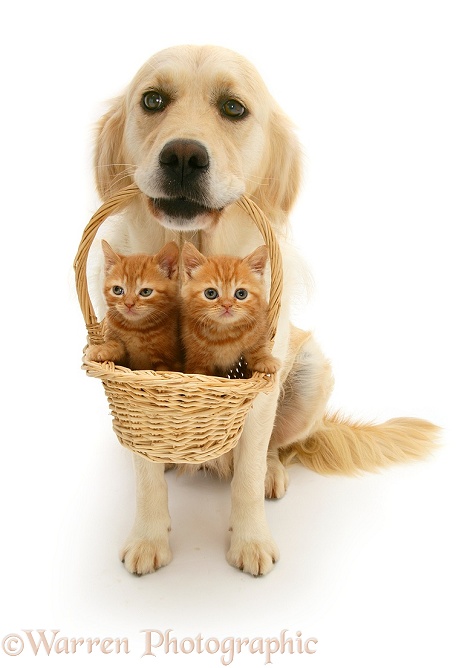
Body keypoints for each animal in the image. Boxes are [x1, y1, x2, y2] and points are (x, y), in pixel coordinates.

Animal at [89, 44, 438, 576]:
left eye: (233, 108)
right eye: (152, 100)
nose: (184, 156)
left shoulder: (257, 385)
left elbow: (249, 475)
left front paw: (250, 540)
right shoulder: (135, 383)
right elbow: (146, 475)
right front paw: (148, 538)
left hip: (308, 371)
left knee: (274, 449)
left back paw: (273, 473)